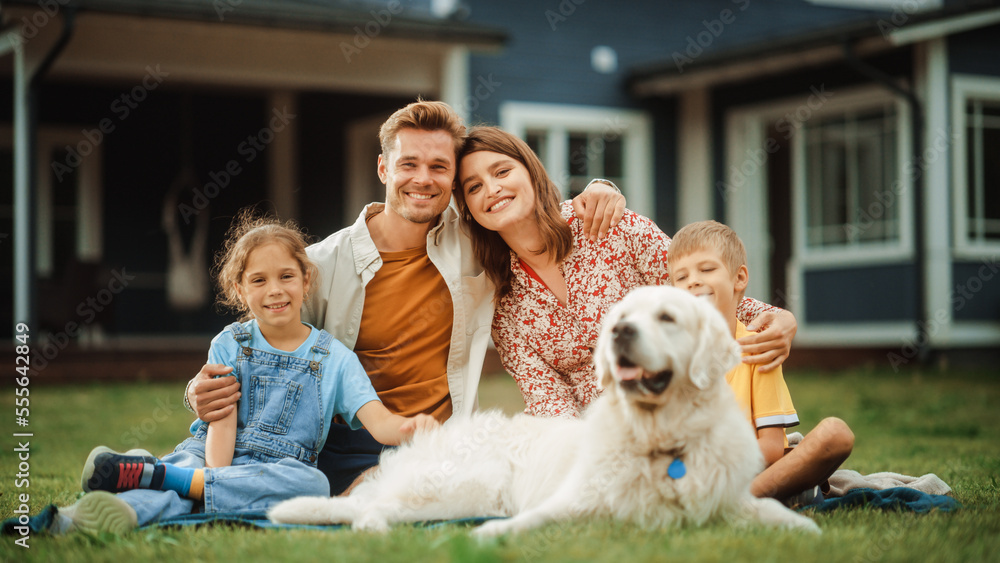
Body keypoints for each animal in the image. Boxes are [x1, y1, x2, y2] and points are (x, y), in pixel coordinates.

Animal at [268, 288, 820, 536]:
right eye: (623, 317)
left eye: (667, 317)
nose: (621, 333)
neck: (659, 439)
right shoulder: (570, 501)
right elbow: (528, 522)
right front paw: (491, 537)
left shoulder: (726, 501)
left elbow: (774, 513)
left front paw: (806, 530)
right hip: (465, 486)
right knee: (371, 510)